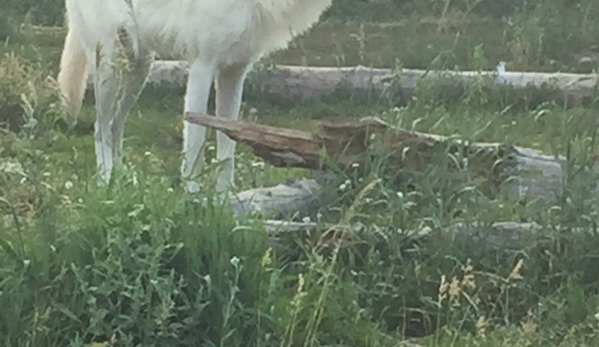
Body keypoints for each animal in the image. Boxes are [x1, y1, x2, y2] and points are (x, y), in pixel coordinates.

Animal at [57, 0, 332, 193]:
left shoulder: (234, 73)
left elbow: (228, 150)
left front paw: (224, 205)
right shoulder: (203, 66)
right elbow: (195, 147)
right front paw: (193, 202)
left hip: (139, 68)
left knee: (115, 126)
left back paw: (123, 182)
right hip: (113, 63)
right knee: (100, 128)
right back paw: (106, 184)